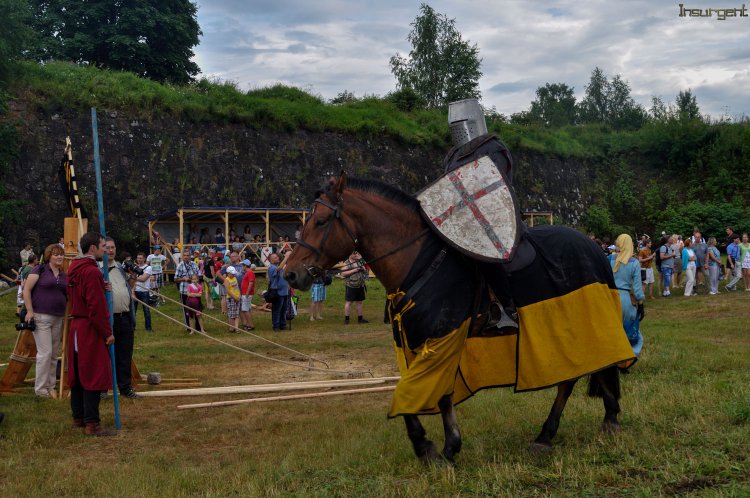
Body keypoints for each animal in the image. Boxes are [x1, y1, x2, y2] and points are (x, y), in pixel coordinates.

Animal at [288, 175, 628, 462]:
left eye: (320, 221)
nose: (290, 273)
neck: (417, 261)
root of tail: (593, 247)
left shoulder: (442, 335)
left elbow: (419, 391)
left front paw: (431, 447)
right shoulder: (421, 342)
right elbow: (428, 391)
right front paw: (444, 446)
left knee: (589, 369)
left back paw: (593, 423)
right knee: (577, 371)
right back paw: (565, 429)